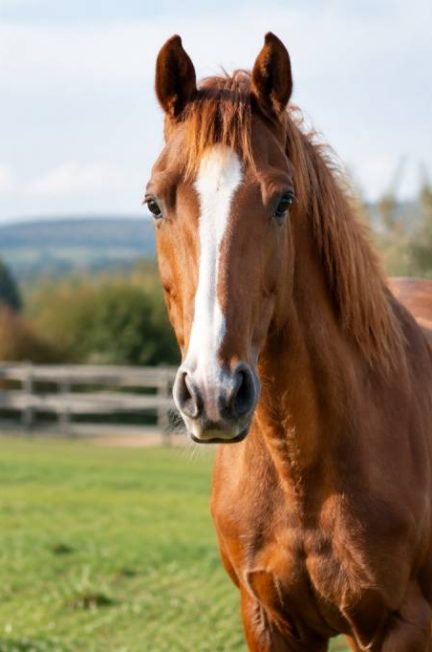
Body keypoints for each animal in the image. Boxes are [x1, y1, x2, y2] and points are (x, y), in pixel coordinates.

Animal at [146, 33, 432, 651]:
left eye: (283, 201)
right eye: (154, 202)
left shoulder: (403, 625)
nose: (213, 394)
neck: (300, 468)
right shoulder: (268, 619)